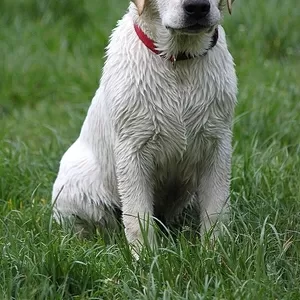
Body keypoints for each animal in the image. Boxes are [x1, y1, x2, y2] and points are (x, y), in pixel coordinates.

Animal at [52, 0, 238, 253]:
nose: (197, 7)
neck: (178, 61)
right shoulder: (133, 150)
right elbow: (138, 217)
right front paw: (146, 258)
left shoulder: (217, 145)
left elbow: (216, 210)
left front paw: (215, 253)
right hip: (77, 187)